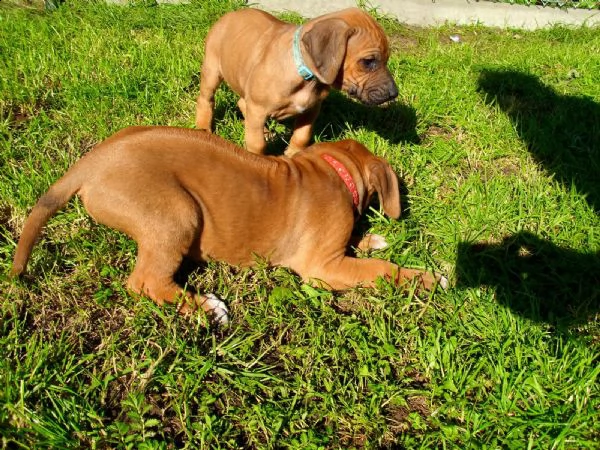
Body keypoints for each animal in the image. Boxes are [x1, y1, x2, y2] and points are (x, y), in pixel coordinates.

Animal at [11, 126, 446, 324]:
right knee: (144, 282)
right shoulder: (323, 267)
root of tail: (92, 161)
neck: (332, 171)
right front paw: (426, 278)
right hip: (178, 212)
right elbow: (381, 271)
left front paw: (372, 238)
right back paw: (206, 305)